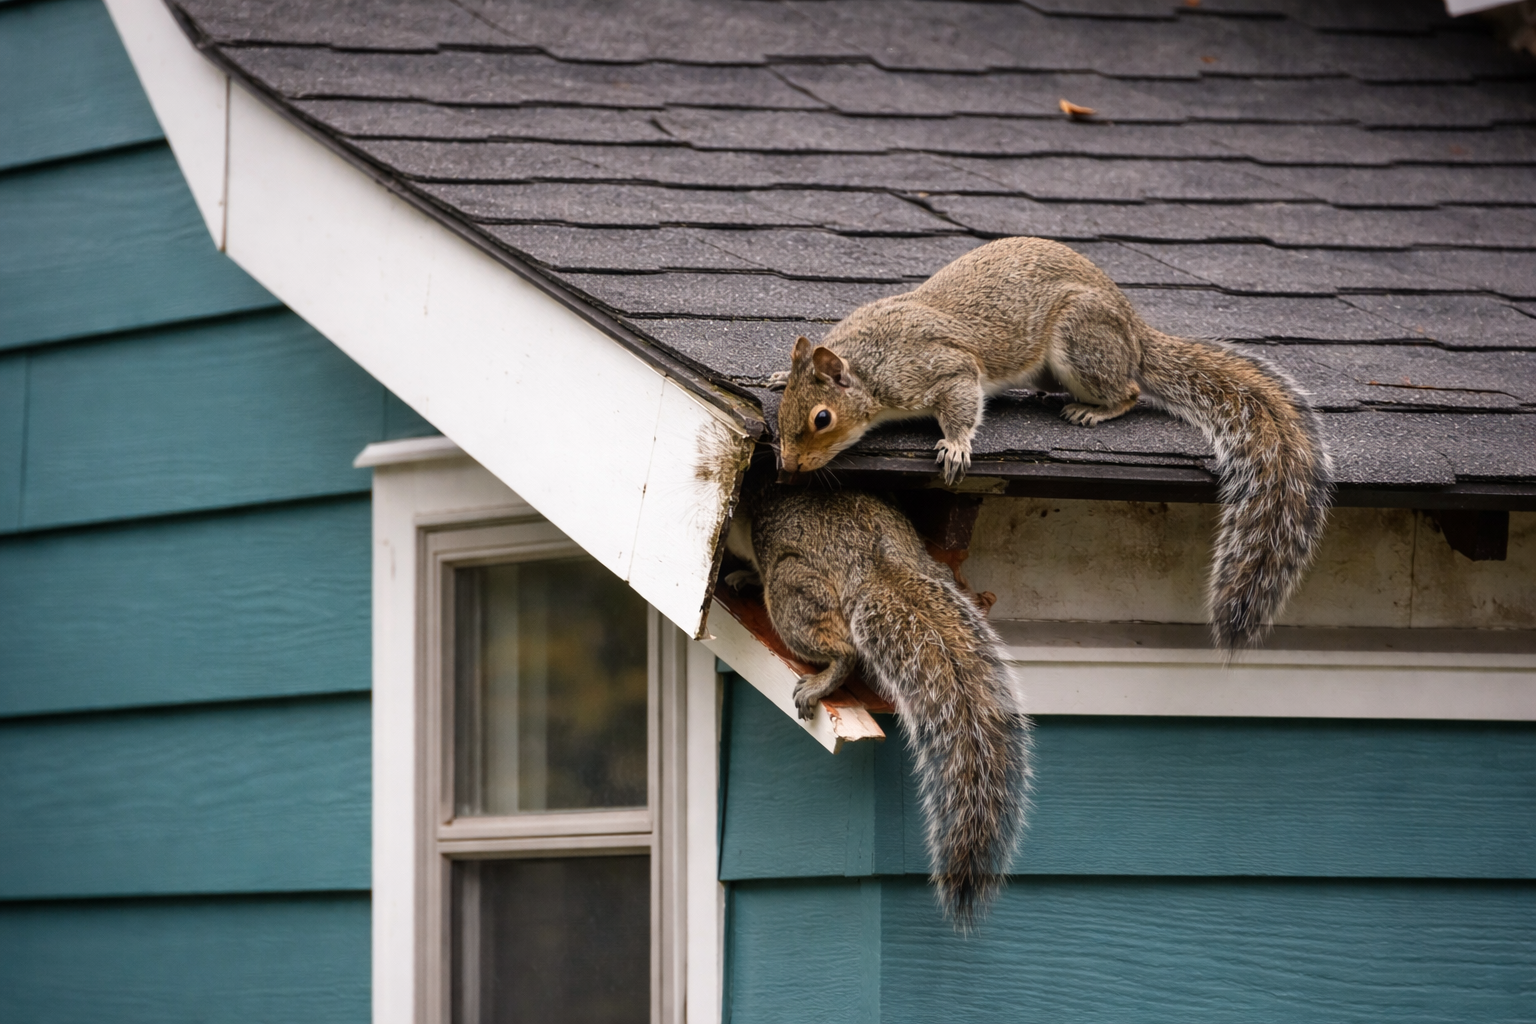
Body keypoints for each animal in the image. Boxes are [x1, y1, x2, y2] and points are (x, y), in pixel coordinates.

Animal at [769, 236, 1333, 651]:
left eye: (822, 418)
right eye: (782, 417)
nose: (790, 466)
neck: (867, 364)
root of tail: (1133, 329)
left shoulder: (938, 369)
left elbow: (962, 399)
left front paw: (956, 446)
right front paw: (777, 375)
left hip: (1082, 343)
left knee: (1128, 390)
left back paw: (1095, 409)